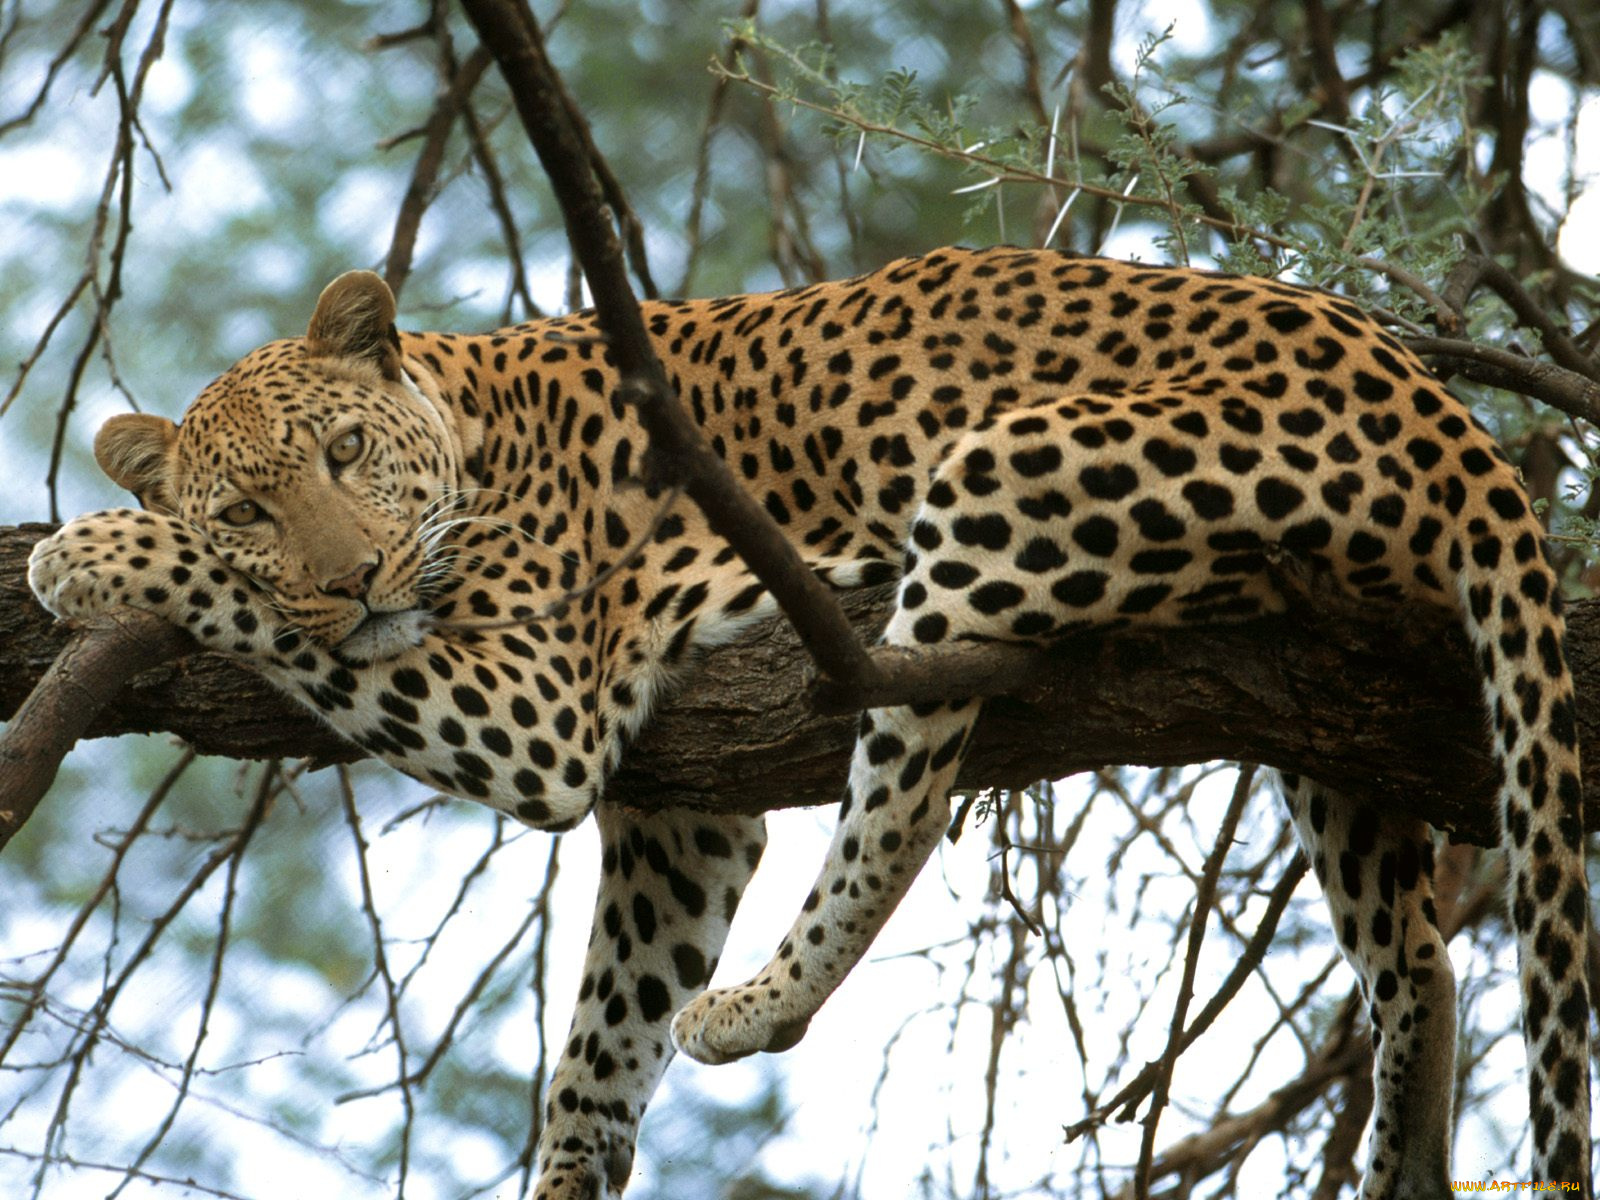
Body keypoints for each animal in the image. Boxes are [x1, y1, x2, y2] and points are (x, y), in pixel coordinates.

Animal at [27, 245, 1592, 1199]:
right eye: (248, 507)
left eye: (346, 453)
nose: (353, 579)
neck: (471, 421)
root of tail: (1441, 407)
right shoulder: (678, 816)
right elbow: (601, 1037)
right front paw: (572, 1171)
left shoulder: (538, 706)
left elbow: (278, 629)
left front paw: (90, 552)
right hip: (1331, 714)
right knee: (1418, 960)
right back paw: (1400, 1157)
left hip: (998, 476)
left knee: (903, 795)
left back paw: (761, 1004)